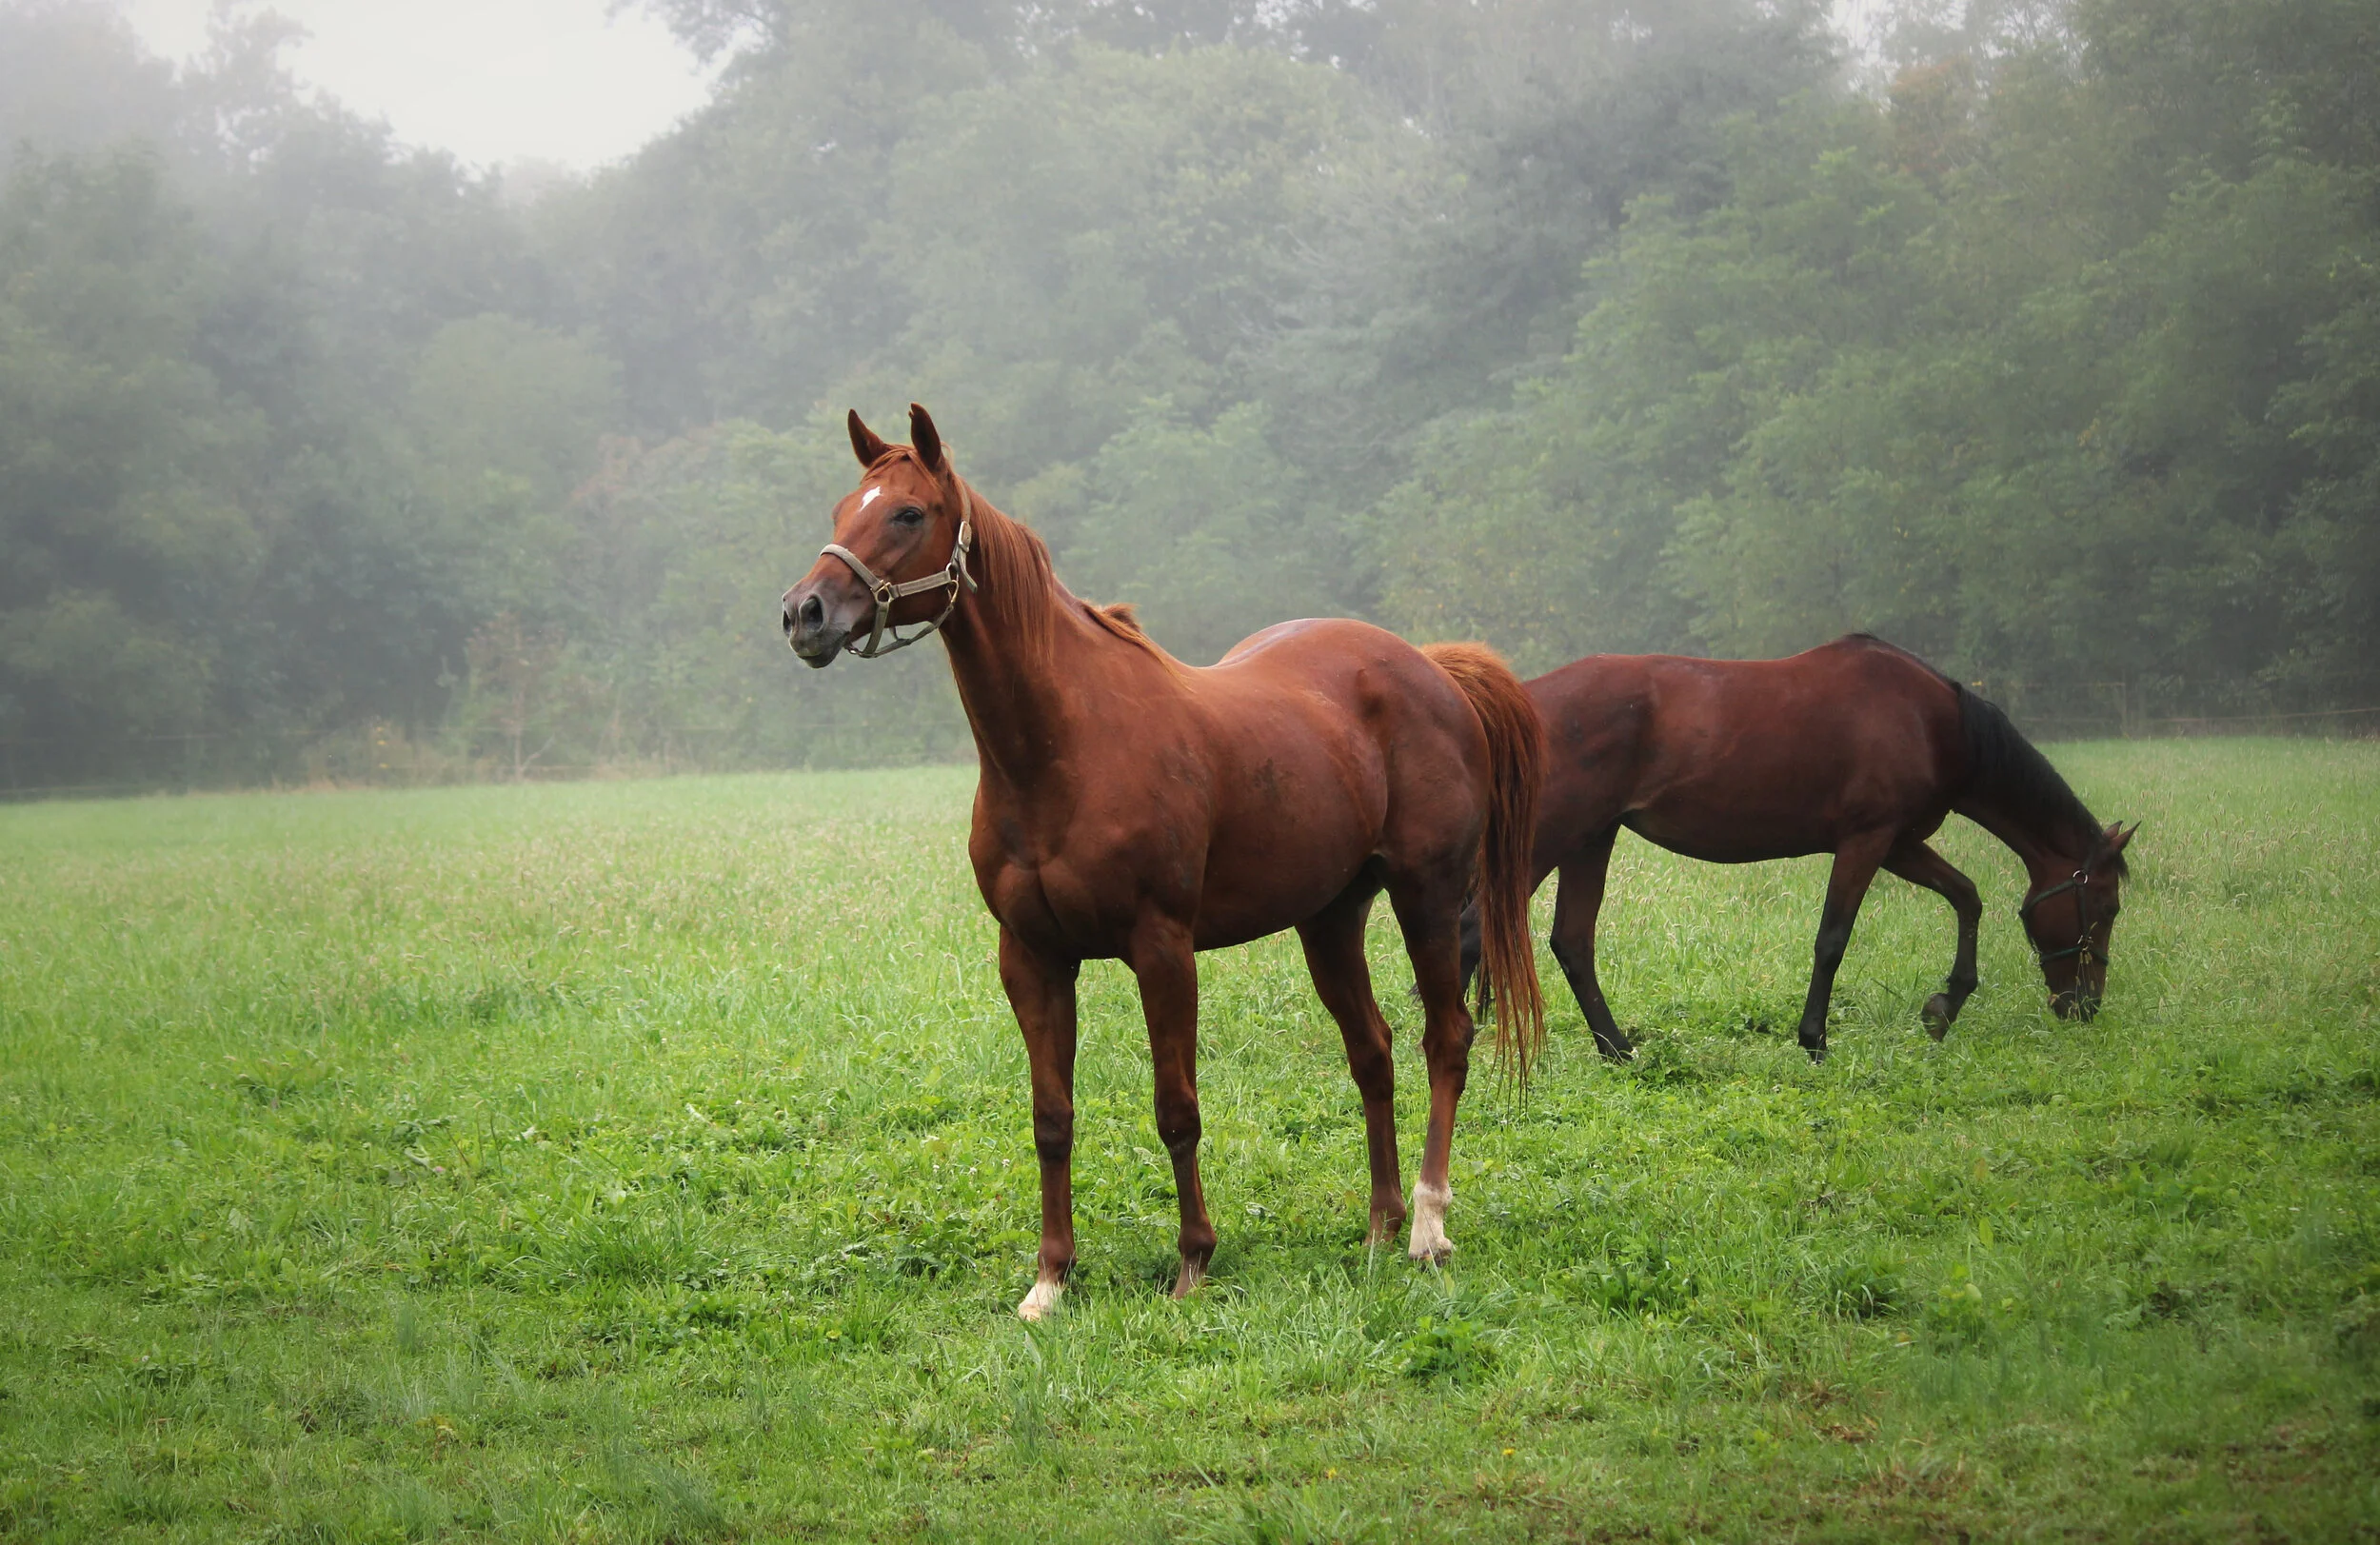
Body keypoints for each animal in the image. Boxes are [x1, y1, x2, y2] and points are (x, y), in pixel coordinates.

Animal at [781, 404, 1546, 1319]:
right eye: (840, 508)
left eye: (906, 512)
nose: (804, 613)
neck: (1061, 748)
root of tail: (1431, 667)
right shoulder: (1032, 958)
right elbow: (1051, 1116)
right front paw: (1050, 1279)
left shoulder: (1162, 949)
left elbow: (1176, 1108)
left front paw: (1192, 1261)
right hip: (1330, 919)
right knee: (1374, 1051)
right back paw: (1380, 1225)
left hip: (1425, 893)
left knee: (1446, 1038)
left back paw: (1429, 1226)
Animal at [1461, 635, 2136, 1063]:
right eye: (2106, 908)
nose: (2086, 1006)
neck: (1932, 721)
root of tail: (1521, 701)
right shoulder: (1867, 841)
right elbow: (1832, 939)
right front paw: (1814, 1038)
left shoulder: (1900, 844)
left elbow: (1967, 898)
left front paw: (1944, 1006)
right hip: (1550, 839)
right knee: (1478, 929)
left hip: (1589, 840)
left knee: (1571, 942)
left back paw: (1617, 1050)